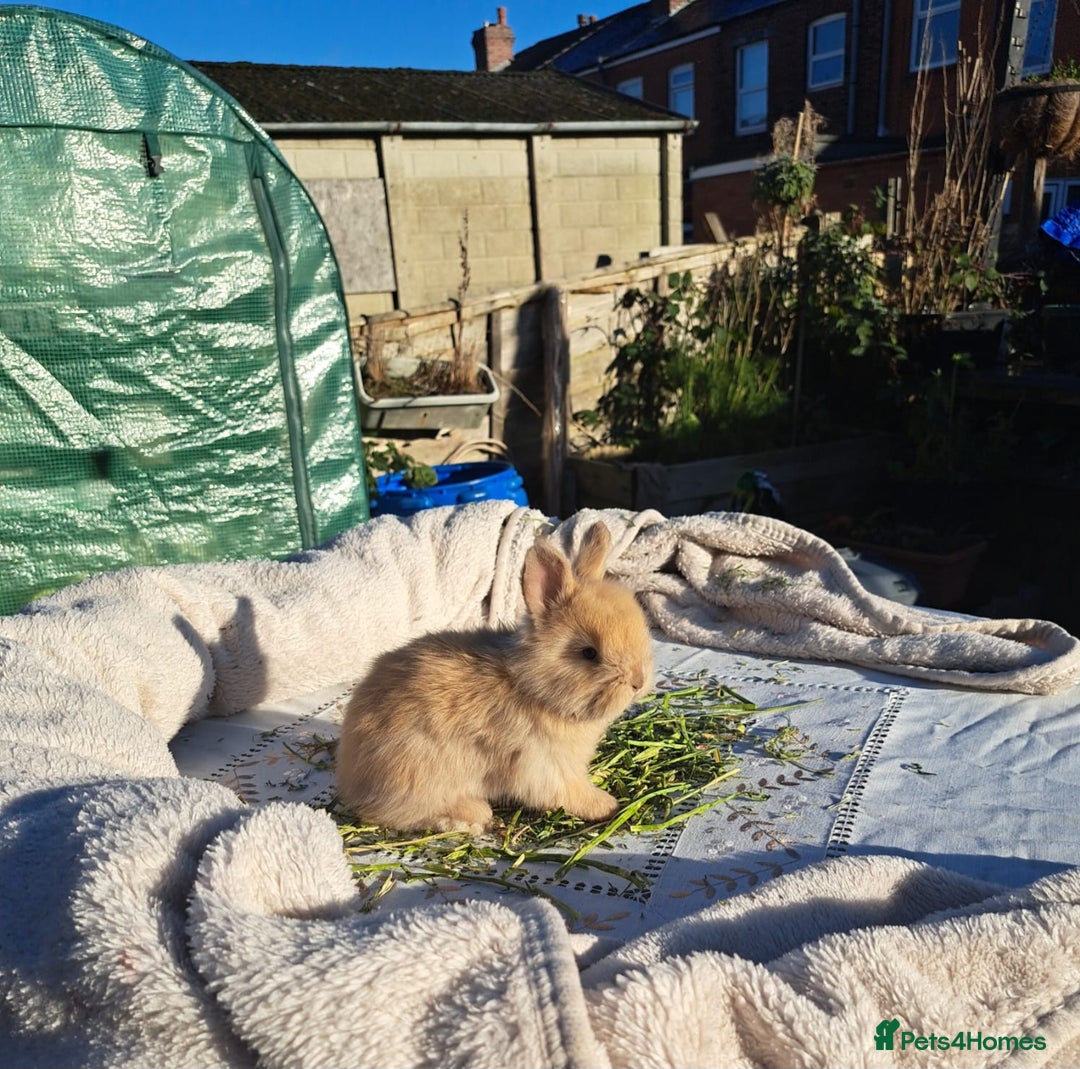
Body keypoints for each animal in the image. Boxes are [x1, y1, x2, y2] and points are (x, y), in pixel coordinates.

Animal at [335, 521, 654, 833]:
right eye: (589, 653)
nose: (638, 683)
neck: (532, 689)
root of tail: (351, 778)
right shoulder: (543, 766)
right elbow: (568, 793)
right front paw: (606, 804)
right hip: (417, 776)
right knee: (392, 814)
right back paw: (472, 814)